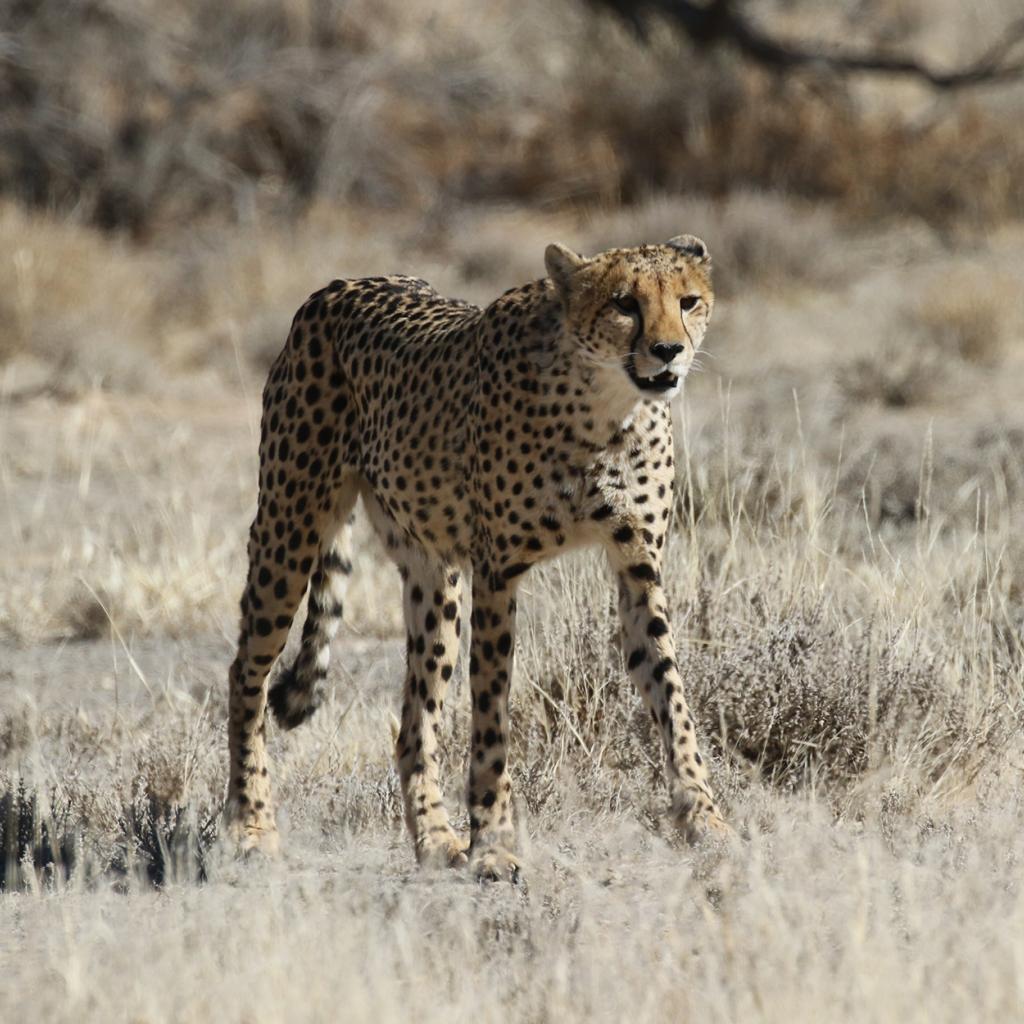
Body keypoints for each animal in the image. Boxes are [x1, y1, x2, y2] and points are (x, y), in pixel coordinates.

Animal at [228, 234, 733, 880]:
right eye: (625, 303)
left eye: (688, 301)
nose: (669, 350)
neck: (605, 408)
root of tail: (340, 285)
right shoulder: (499, 571)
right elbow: (492, 717)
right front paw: (492, 844)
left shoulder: (638, 566)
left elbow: (672, 697)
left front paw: (704, 817)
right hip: (288, 527)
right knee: (247, 675)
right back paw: (251, 825)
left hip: (434, 577)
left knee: (414, 725)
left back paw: (437, 840)